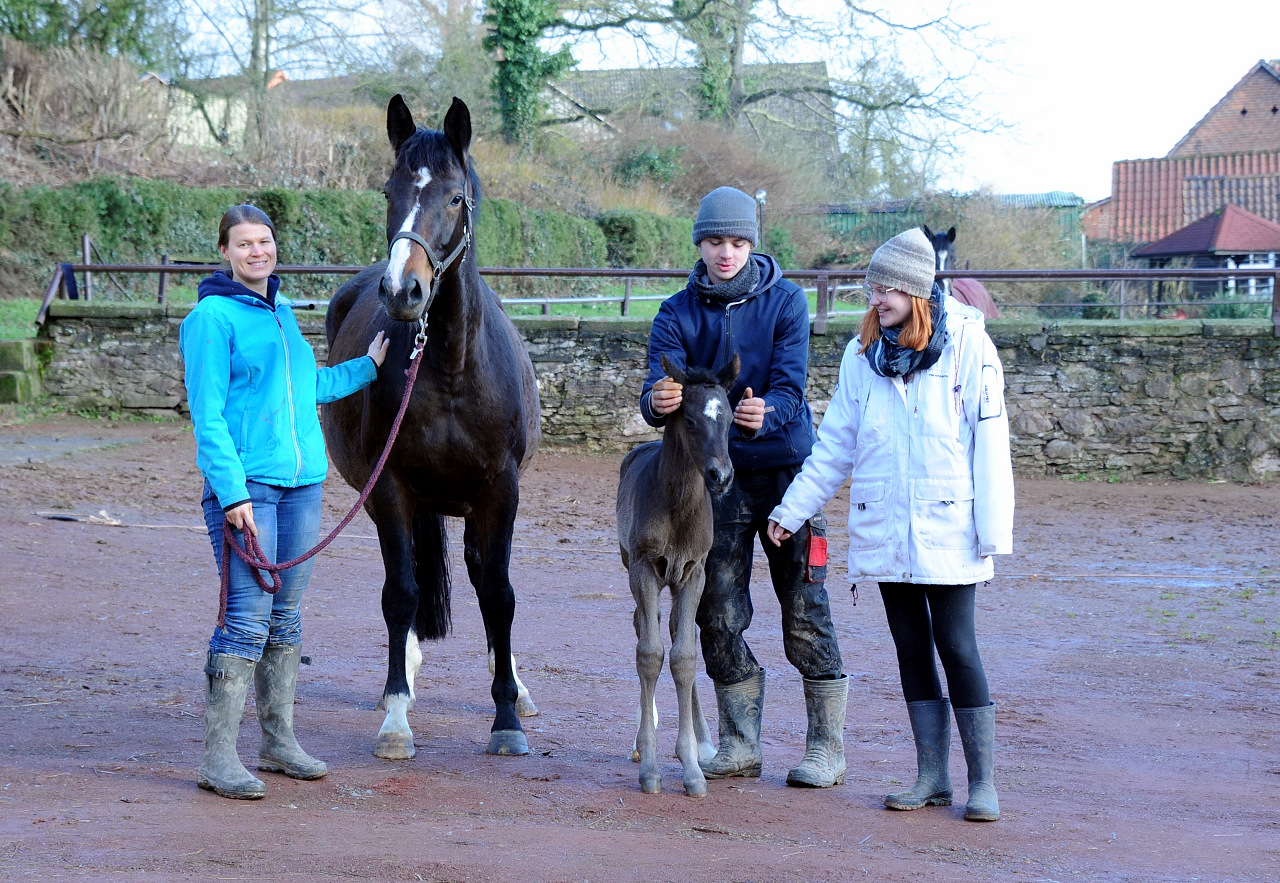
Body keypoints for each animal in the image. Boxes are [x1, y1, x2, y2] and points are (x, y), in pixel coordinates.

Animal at [325, 94, 540, 757]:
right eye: (389, 191)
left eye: (454, 196)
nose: (403, 290)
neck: (448, 366)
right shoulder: (392, 490)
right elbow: (401, 595)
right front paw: (396, 716)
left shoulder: (500, 492)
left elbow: (500, 595)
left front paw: (507, 717)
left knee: (480, 576)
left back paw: (513, 681)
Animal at [616, 353, 742, 798]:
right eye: (688, 418)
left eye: (730, 419)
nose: (721, 475)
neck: (677, 507)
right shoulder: (644, 567)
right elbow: (650, 655)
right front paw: (650, 769)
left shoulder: (694, 572)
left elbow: (685, 657)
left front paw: (692, 769)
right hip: (632, 569)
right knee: (644, 626)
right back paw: (641, 741)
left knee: (674, 630)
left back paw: (703, 742)